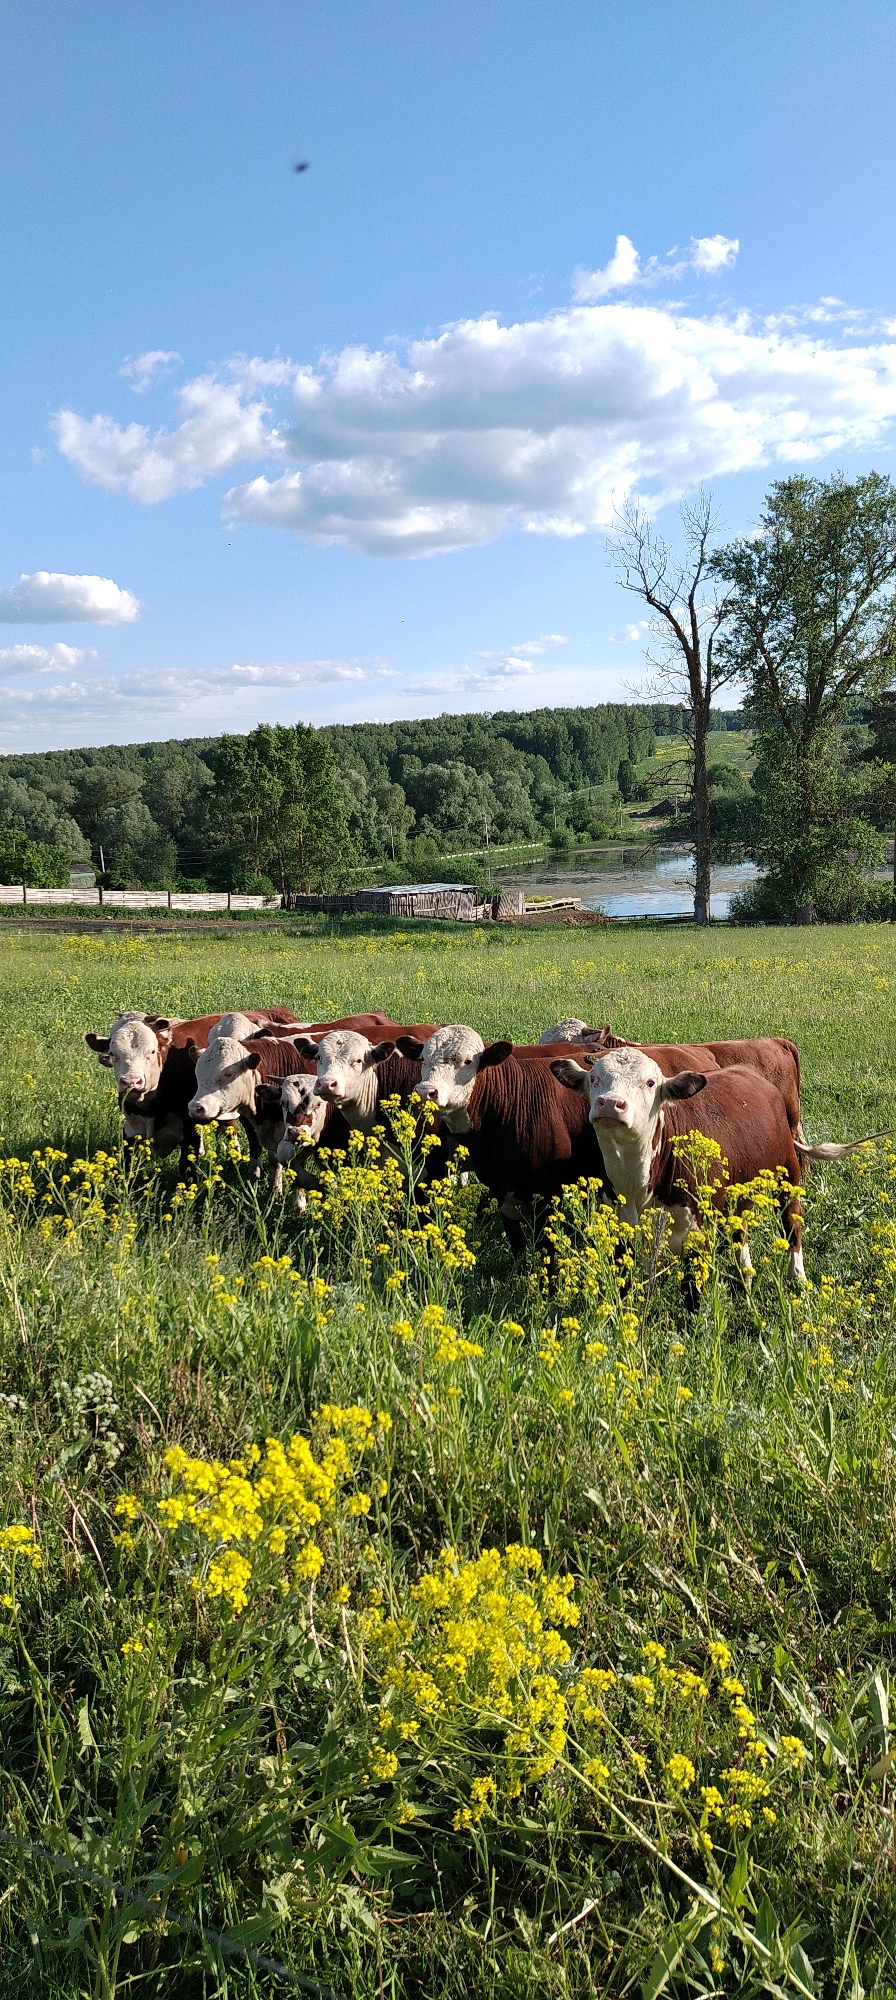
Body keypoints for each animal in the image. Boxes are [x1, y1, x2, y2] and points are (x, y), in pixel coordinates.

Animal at [394, 1025, 603, 1254]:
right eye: (423, 1058)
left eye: (468, 1061)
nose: (425, 1091)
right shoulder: (502, 1193)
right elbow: (518, 1247)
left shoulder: (546, 1196)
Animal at [550, 1045, 882, 1285]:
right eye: (594, 1079)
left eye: (650, 1083)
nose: (609, 1103)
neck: (638, 1186)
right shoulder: (623, 1236)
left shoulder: (699, 1236)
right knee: (741, 1231)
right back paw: (746, 1274)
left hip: (789, 1176)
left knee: (792, 1224)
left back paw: (796, 1276)